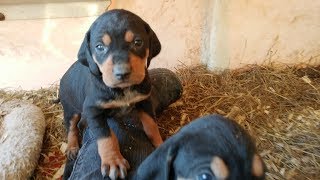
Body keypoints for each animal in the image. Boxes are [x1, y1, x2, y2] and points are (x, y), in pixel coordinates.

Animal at [60, 9, 164, 179]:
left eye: (138, 42)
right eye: (99, 47)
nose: (122, 73)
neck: (123, 89)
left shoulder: (145, 100)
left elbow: (151, 125)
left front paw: (160, 143)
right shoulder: (93, 110)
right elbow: (105, 135)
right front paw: (113, 161)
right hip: (70, 108)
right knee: (71, 126)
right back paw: (72, 147)